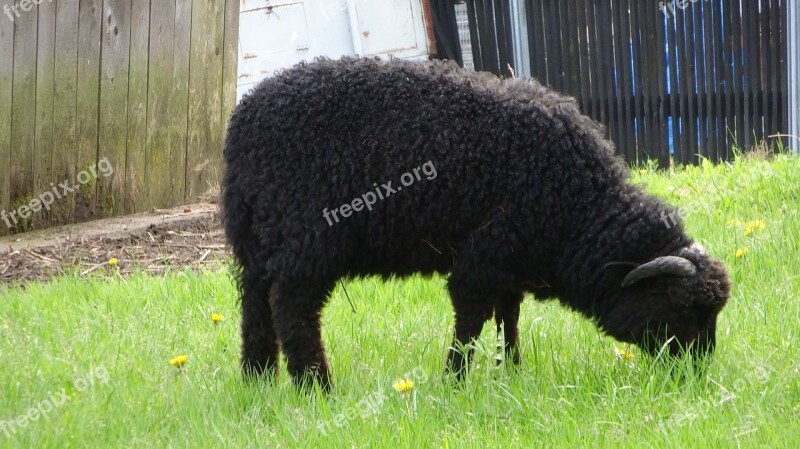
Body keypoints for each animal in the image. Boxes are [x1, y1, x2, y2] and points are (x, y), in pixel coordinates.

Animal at [220, 57, 732, 388]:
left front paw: (512, 372)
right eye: (682, 308)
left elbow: (509, 317)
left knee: (255, 301)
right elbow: (470, 322)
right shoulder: (484, 256)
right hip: (308, 236)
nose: (696, 376)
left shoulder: (510, 261)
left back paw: (257, 380)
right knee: (292, 307)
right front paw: (455, 381)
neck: (576, 206)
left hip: (257, 236)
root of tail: (243, 121)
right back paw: (316, 386)